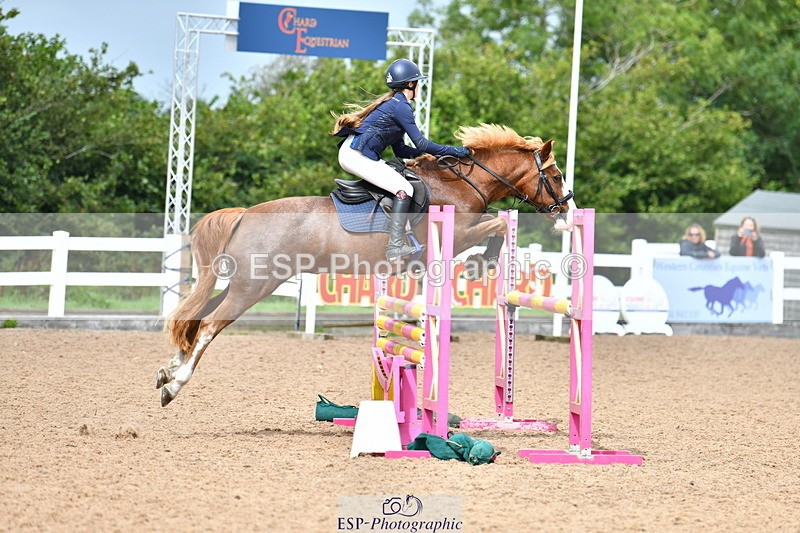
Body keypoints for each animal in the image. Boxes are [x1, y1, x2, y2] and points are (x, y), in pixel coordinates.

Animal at [156, 123, 574, 406]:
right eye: (555, 175)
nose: (567, 212)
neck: (461, 184)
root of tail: (245, 214)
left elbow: (497, 225)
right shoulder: (459, 232)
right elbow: (498, 224)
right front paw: (479, 264)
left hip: (246, 283)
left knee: (197, 318)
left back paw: (166, 372)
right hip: (255, 286)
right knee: (209, 325)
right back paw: (175, 385)